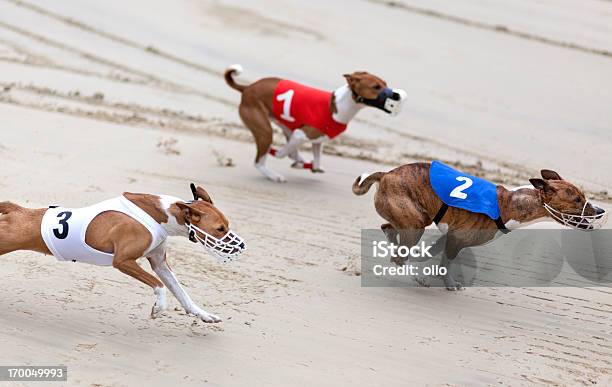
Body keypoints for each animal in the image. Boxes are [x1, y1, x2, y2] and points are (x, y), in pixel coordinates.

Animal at [0, 183, 244, 322]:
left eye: (227, 225)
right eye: (220, 229)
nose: (241, 247)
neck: (161, 215)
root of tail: (17, 209)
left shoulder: (159, 263)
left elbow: (181, 293)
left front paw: (203, 314)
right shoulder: (123, 261)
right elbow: (159, 285)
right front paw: (158, 308)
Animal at [225, 65, 406, 183]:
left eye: (385, 83)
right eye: (376, 87)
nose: (396, 95)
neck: (335, 107)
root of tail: (247, 88)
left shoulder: (317, 140)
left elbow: (317, 159)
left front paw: (308, 164)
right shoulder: (301, 134)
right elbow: (281, 154)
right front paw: (287, 157)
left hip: (286, 125)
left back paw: (297, 160)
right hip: (265, 131)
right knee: (259, 161)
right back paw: (274, 175)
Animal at [354, 161, 608, 292]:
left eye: (584, 197)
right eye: (577, 200)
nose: (600, 211)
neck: (511, 204)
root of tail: (385, 174)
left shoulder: (449, 237)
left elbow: (434, 253)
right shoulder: (456, 239)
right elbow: (445, 263)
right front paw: (448, 283)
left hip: (412, 219)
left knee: (388, 229)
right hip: (416, 223)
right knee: (399, 256)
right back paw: (418, 278)